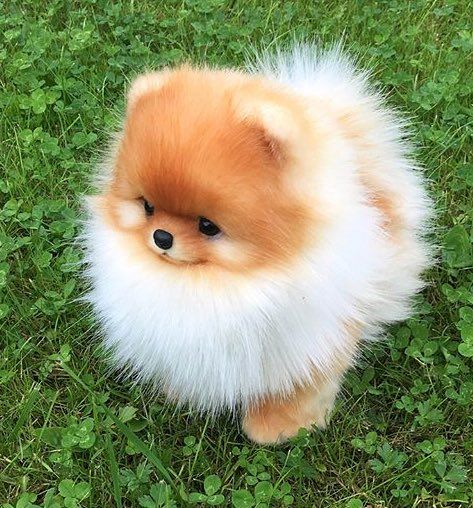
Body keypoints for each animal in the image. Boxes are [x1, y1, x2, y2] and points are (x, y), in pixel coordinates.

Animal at [82, 47, 432, 444]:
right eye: (148, 207)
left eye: (208, 226)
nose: (161, 237)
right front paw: (176, 392)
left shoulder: (312, 342)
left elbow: (300, 389)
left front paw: (278, 428)